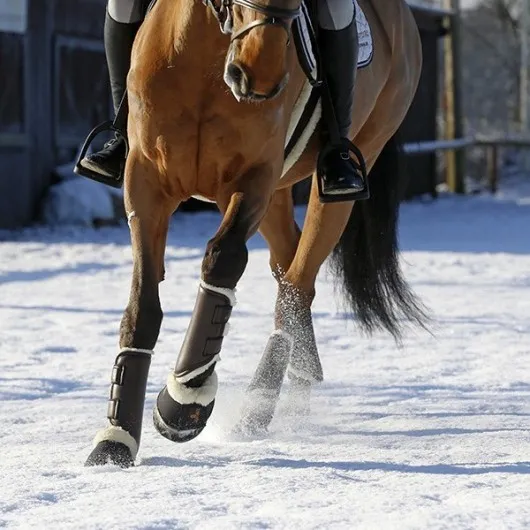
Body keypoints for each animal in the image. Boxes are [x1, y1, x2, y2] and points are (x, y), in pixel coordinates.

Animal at [85, 0, 424, 464]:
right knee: (290, 266)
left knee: (298, 280)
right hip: (278, 195)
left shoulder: (253, 179)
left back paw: (259, 408)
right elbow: (143, 302)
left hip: (346, 169)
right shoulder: (145, 184)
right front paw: (115, 438)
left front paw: (185, 400)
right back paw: (299, 383)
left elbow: (223, 259)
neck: (203, 55)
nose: (259, 74)